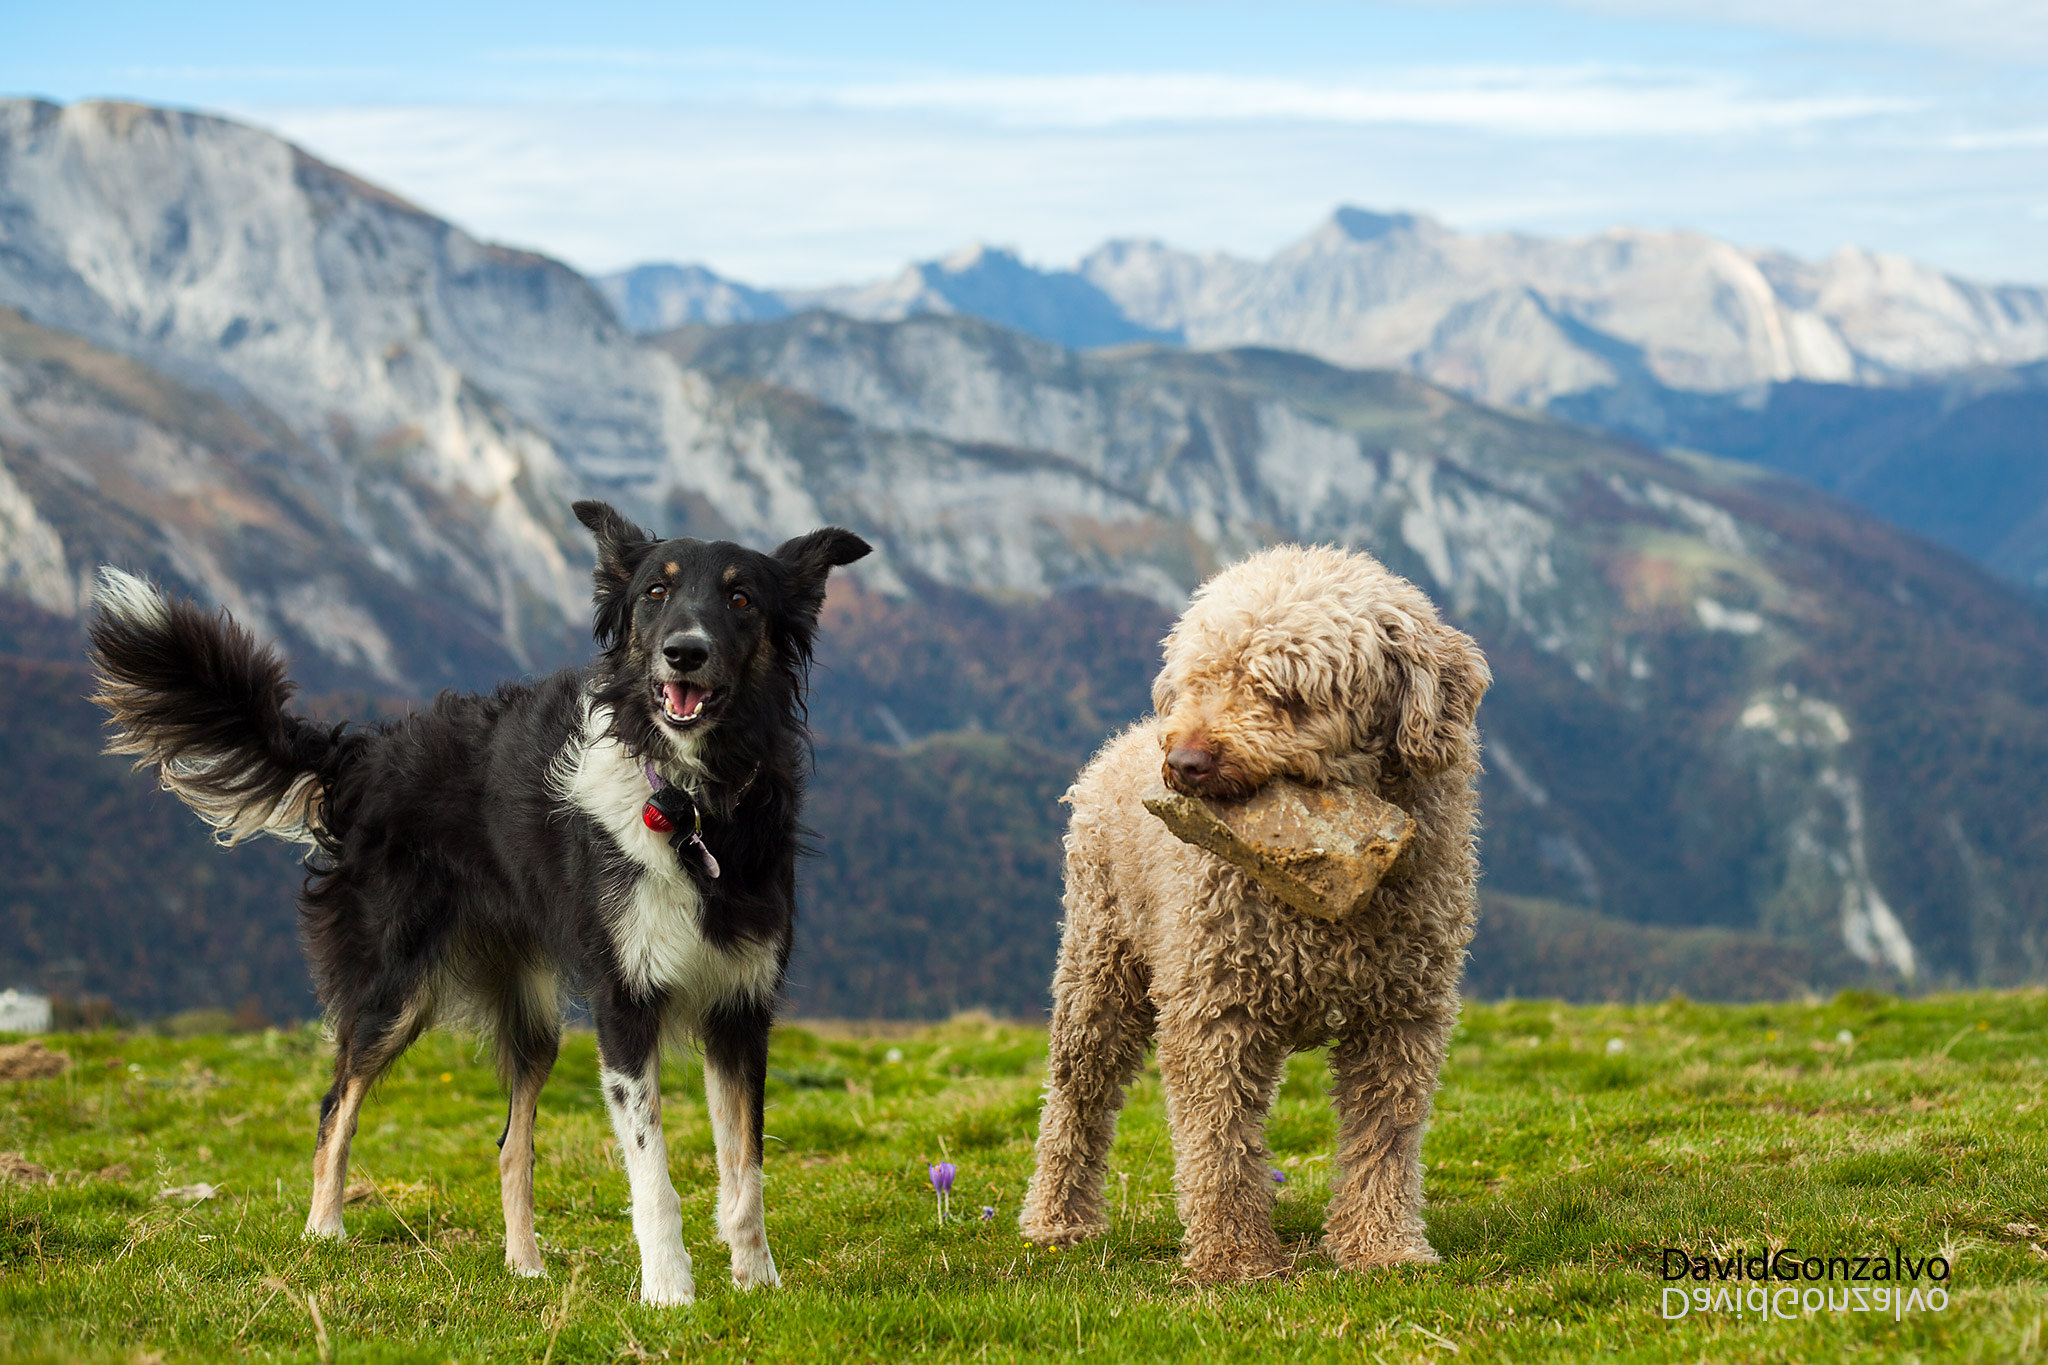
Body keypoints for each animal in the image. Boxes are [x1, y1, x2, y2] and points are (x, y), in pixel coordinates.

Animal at [88, 499, 868, 1301]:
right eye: (657, 592)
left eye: (741, 599)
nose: (685, 651)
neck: (690, 803)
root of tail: (362, 755)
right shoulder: (624, 1004)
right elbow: (653, 1175)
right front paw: (670, 1295)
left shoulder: (741, 1006)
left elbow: (745, 1172)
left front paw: (758, 1286)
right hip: (393, 988)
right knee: (337, 1104)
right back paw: (323, 1232)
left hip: (534, 1018)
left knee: (509, 1145)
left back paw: (525, 1267)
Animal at [1019, 540, 1490, 1285]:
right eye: (1199, 678)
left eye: (1285, 693)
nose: (1186, 761)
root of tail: (1118, 744)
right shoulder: (1214, 1010)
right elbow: (1218, 1141)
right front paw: (1233, 1259)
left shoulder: (1402, 1014)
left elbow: (1384, 1137)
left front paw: (1382, 1246)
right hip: (1100, 967)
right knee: (1076, 1098)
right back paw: (1058, 1219)